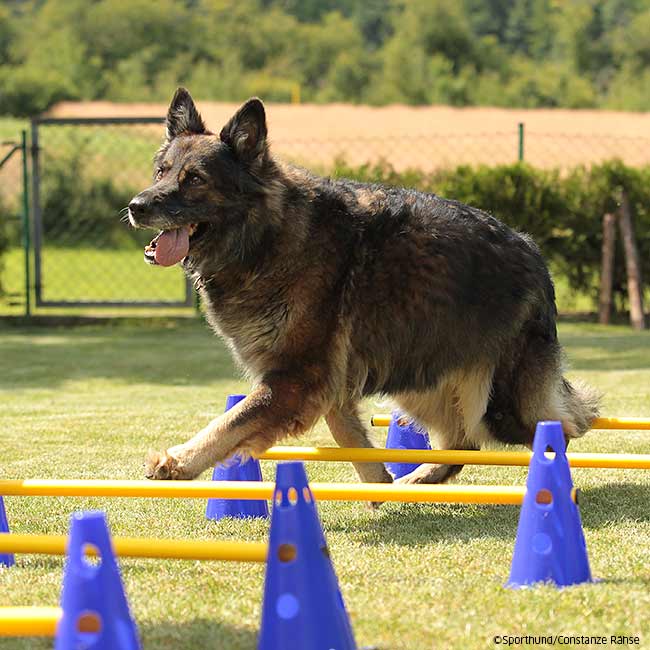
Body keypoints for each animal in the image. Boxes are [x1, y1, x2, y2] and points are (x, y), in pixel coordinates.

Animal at [129, 87, 600, 480]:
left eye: (195, 179)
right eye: (160, 171)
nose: (136, 206)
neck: (266, 237)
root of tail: (533, 253)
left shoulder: (296, 375)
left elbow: (233, 419)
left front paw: (178, 461)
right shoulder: (325, 377)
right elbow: (342, 425)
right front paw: (376, 479)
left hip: (500, 402)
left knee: (559, 429)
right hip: (421, 379)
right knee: (463, 443)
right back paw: (415, 480)